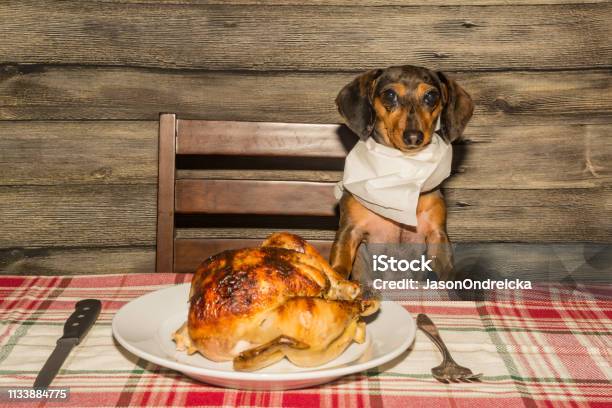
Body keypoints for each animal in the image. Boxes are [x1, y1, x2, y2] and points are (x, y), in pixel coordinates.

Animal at [330, 65, 474, 282]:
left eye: (431, 96)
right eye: (390, 95)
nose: (413, 137)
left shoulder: (436, 236)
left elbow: (448, 274)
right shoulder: (349, 231)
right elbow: (339, 266)